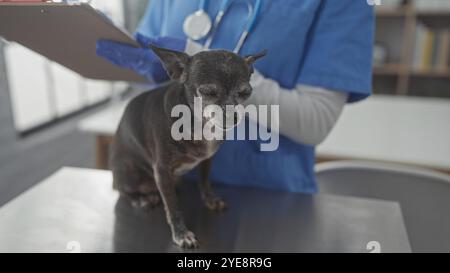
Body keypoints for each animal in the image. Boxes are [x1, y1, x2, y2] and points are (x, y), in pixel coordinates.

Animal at [110, 43, 266, 248]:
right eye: (208, 92)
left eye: (245, 93)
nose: (233, 116)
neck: (200, 125)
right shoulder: (161, 170)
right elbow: (173, 208)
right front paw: (181, 233)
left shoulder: (207, 160)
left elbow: (204, 181)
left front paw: (210, 199)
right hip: (129, 172)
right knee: (122, 189)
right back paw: (141, 199)